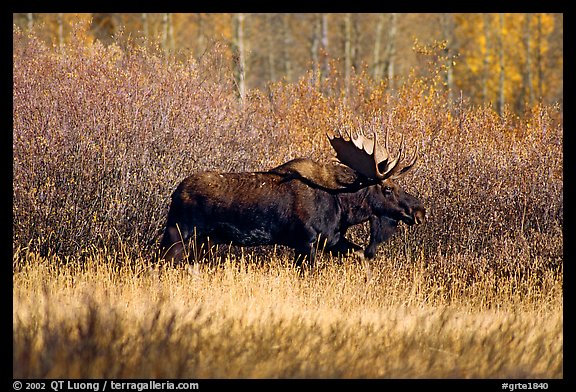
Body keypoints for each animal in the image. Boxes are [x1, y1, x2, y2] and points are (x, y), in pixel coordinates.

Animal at [160, 130, 426, 268]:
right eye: (388, 188)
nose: (419, 211)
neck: (342, 208)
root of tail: (175, 193)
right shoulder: (305, 242)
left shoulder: (331, 240)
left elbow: (360, 253)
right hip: (178, 232)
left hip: (203, 240)